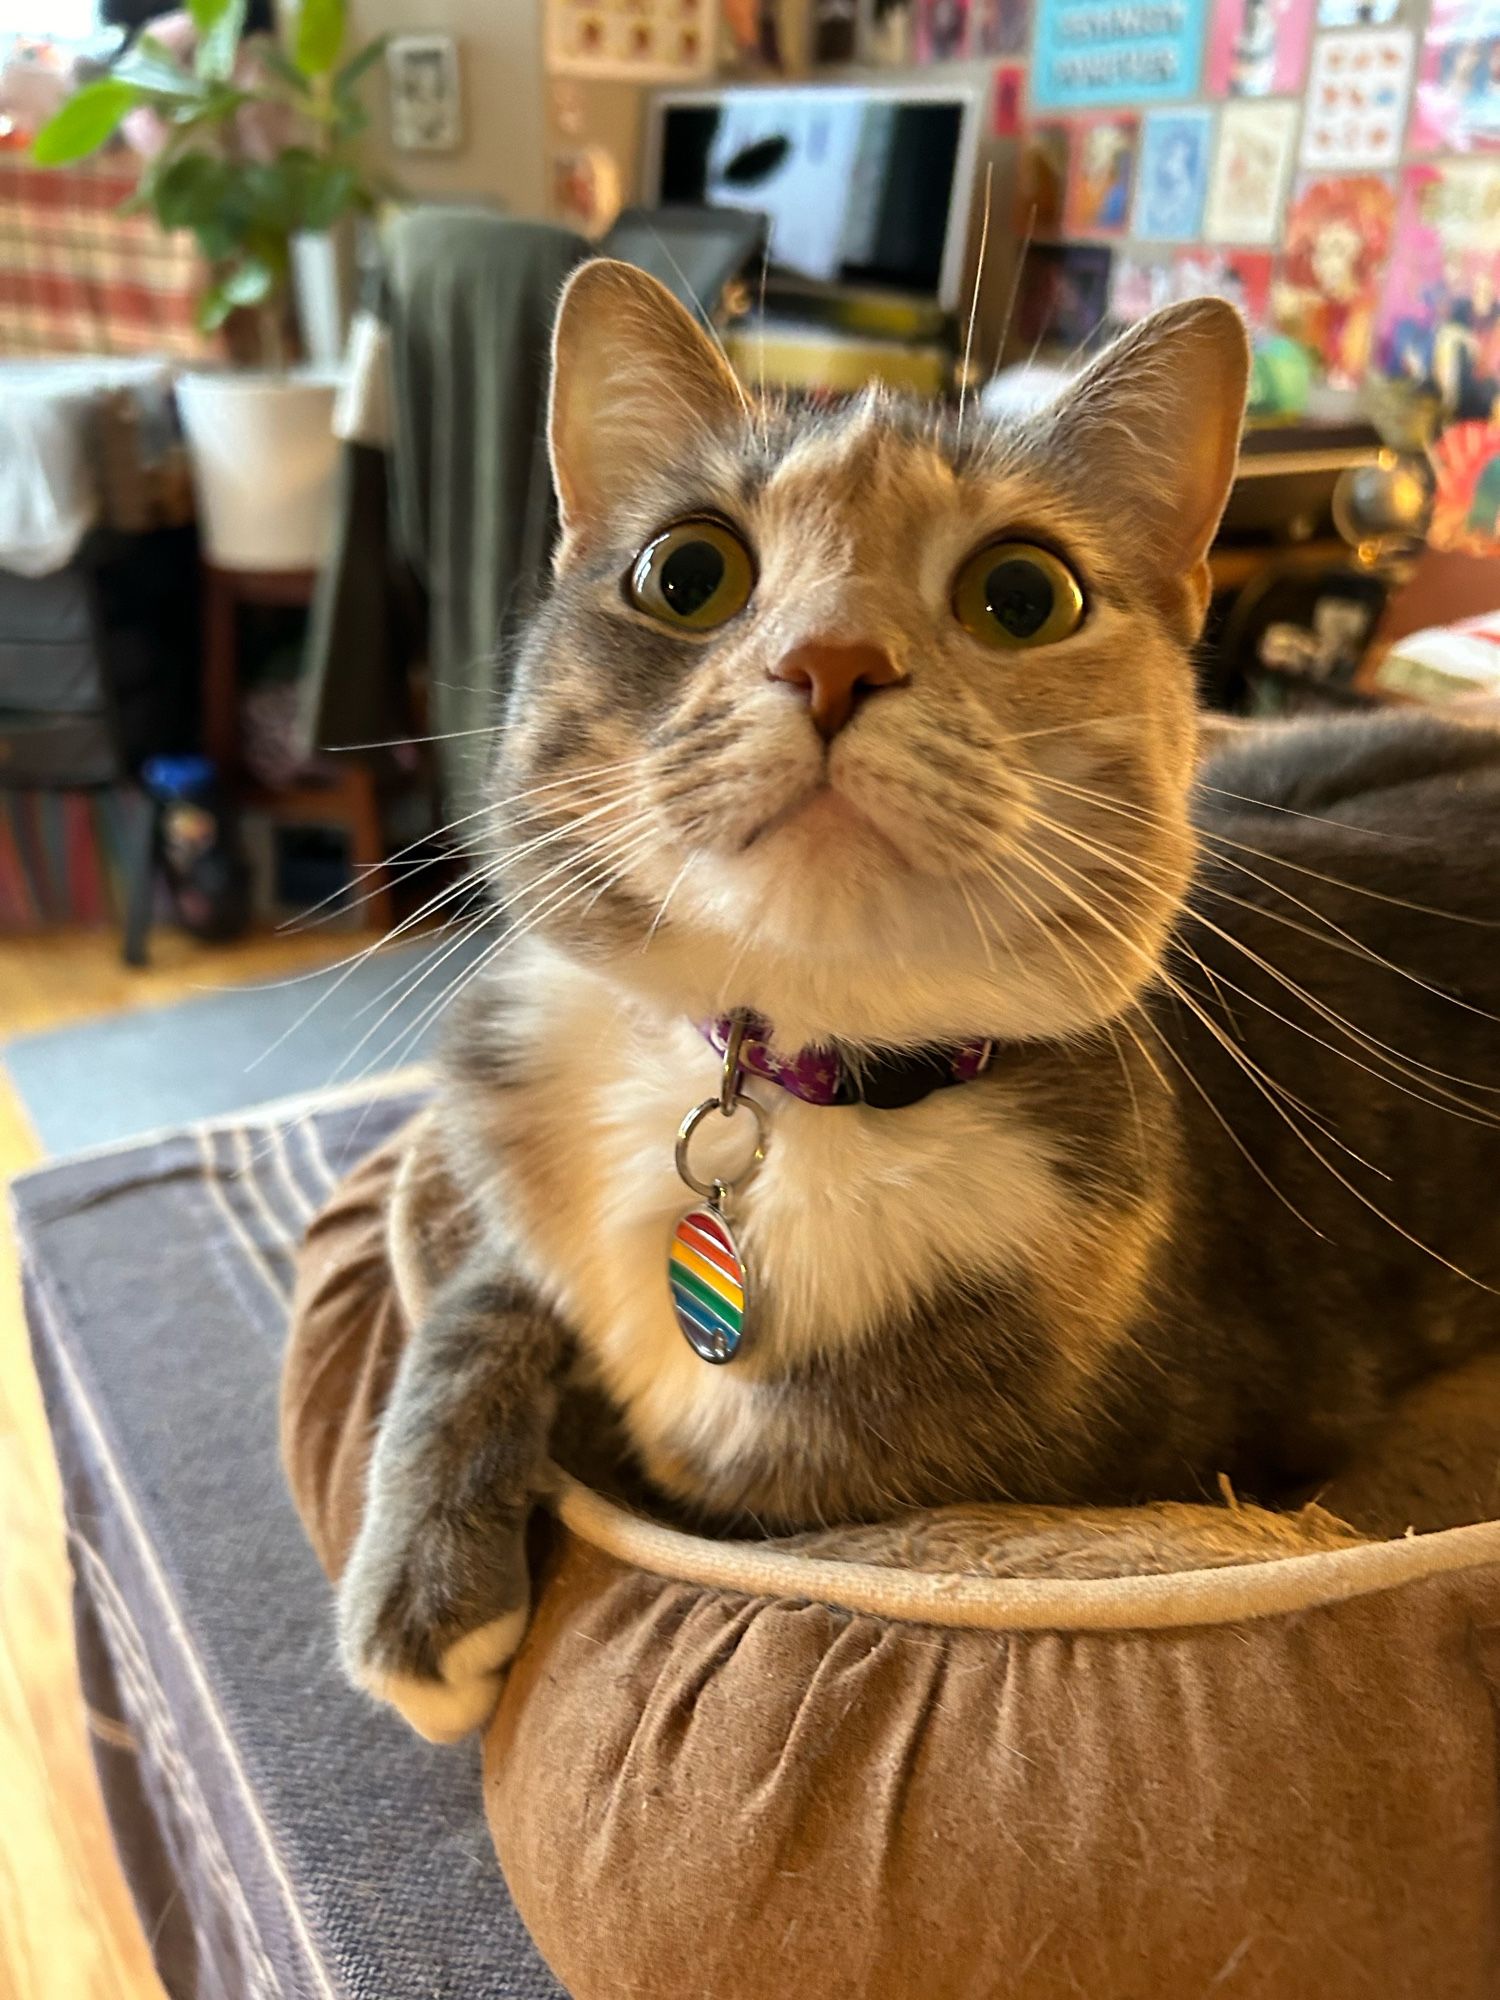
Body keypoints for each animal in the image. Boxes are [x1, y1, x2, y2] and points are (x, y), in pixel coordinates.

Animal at [334, 262, 1500, 1736]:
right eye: (686, 573)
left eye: (1024, 592)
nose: (832, 660)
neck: (801, 1079)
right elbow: (486, 1291)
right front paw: (426, 1588)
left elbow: (701, 1465)